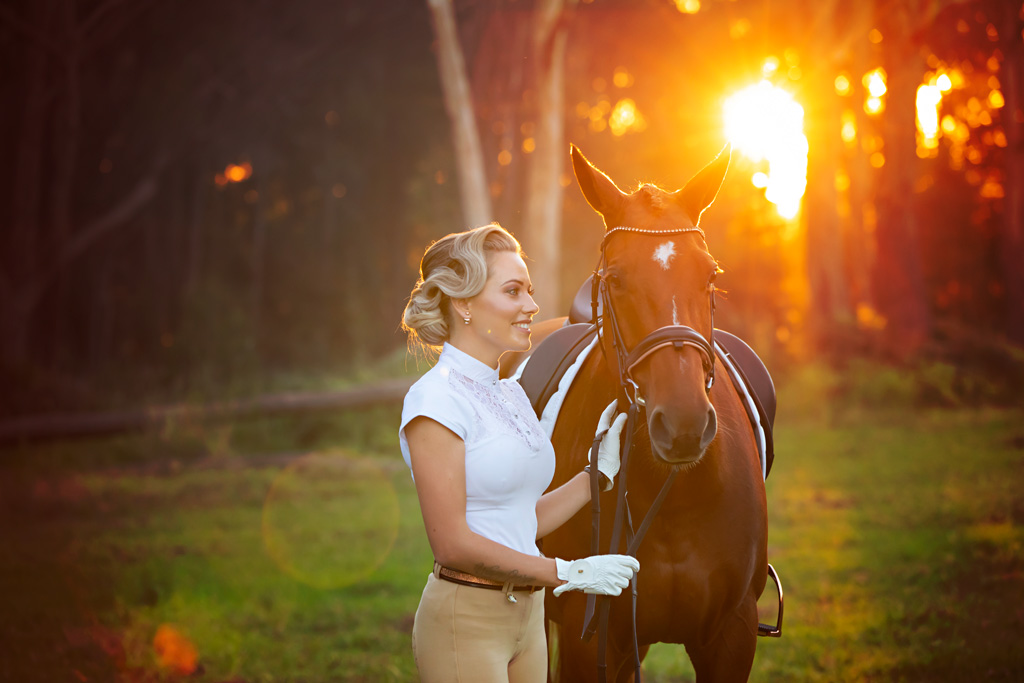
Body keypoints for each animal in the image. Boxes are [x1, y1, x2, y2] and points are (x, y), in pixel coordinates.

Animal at [536, 145, 770, 683]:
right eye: (616, 279)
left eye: (710, 275)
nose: (684, 425)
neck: (678, 497)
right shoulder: (589, 638)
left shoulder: (732, 635)